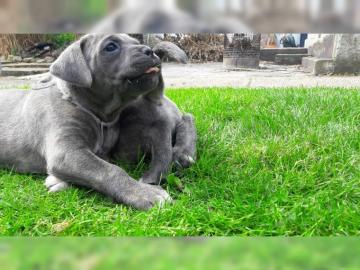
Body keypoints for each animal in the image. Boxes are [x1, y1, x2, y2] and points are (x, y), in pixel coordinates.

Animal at [0, 33, 174, 210]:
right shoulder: (67, 152)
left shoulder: (100, 152)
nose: (150, 51)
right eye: (111, 47)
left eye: (136, 42)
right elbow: (110, 170)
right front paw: (144, 193)